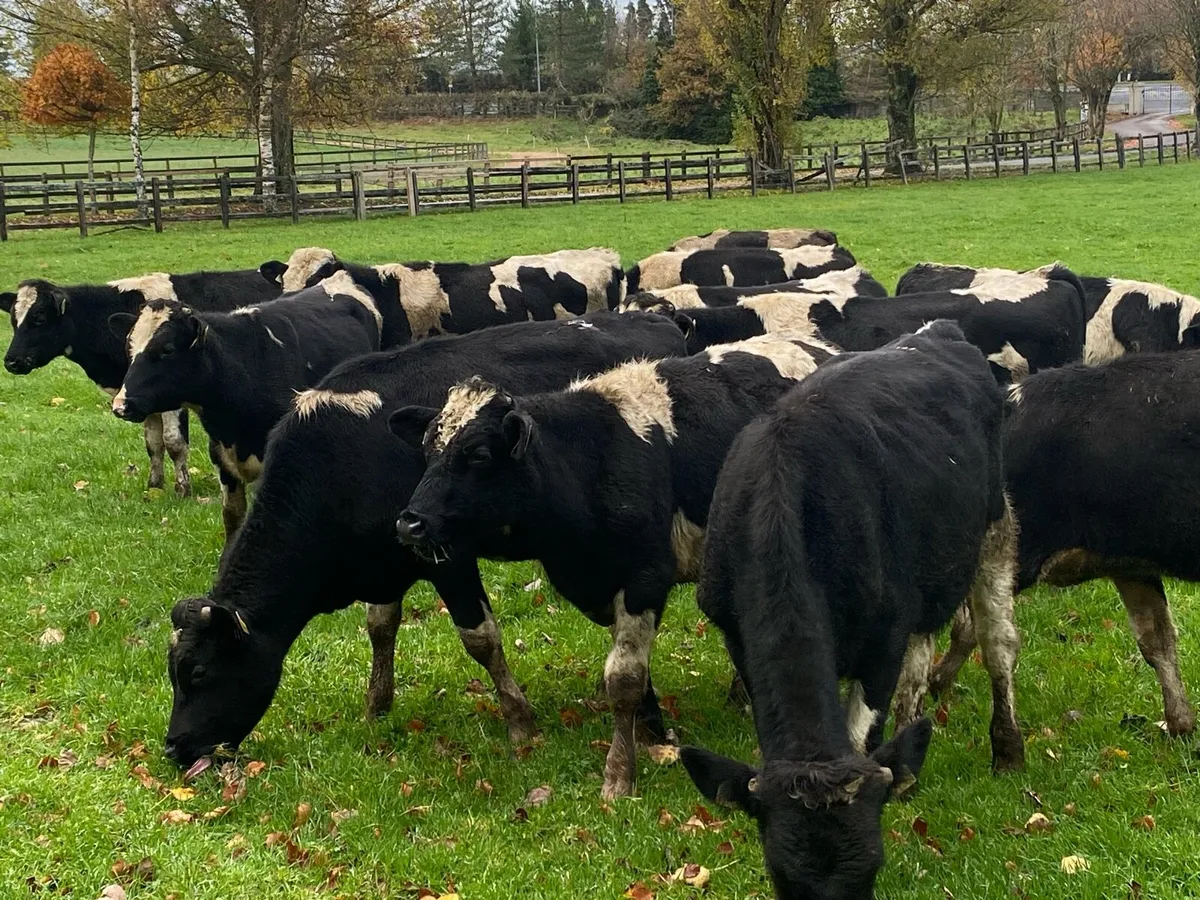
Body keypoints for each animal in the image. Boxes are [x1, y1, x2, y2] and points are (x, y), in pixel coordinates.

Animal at [0, 271, 280, 497]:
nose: (11, 361)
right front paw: (154, 486)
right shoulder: (139, 397)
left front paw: (183, 489)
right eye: (13, 319)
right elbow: (153, 444)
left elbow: (173, 442)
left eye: (39, 317)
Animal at [160, 311, 685, 774]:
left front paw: (520, 722)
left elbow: (481, 639)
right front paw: (376, 705)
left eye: (199, 673)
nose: (174, 747)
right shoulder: (384, 558)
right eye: (172, 673)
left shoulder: (445, 555)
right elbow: (380, 627)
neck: (341, 457)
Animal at [393, 331, 837, 797]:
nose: (411, 522)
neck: (590, 461)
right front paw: (650, 734)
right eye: (428, 448)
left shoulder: (645, 578)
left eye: (479, 455)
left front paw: (619, 774)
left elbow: (622, 679)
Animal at [678, 321, 1021, 900]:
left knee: (998, 644)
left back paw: (1009, 751)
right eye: (780, 878)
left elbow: (865, 736)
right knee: (921, 661)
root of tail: (941, 331)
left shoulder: (883, 640)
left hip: (994, 531)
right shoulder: (736, 633)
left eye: (871, 872)